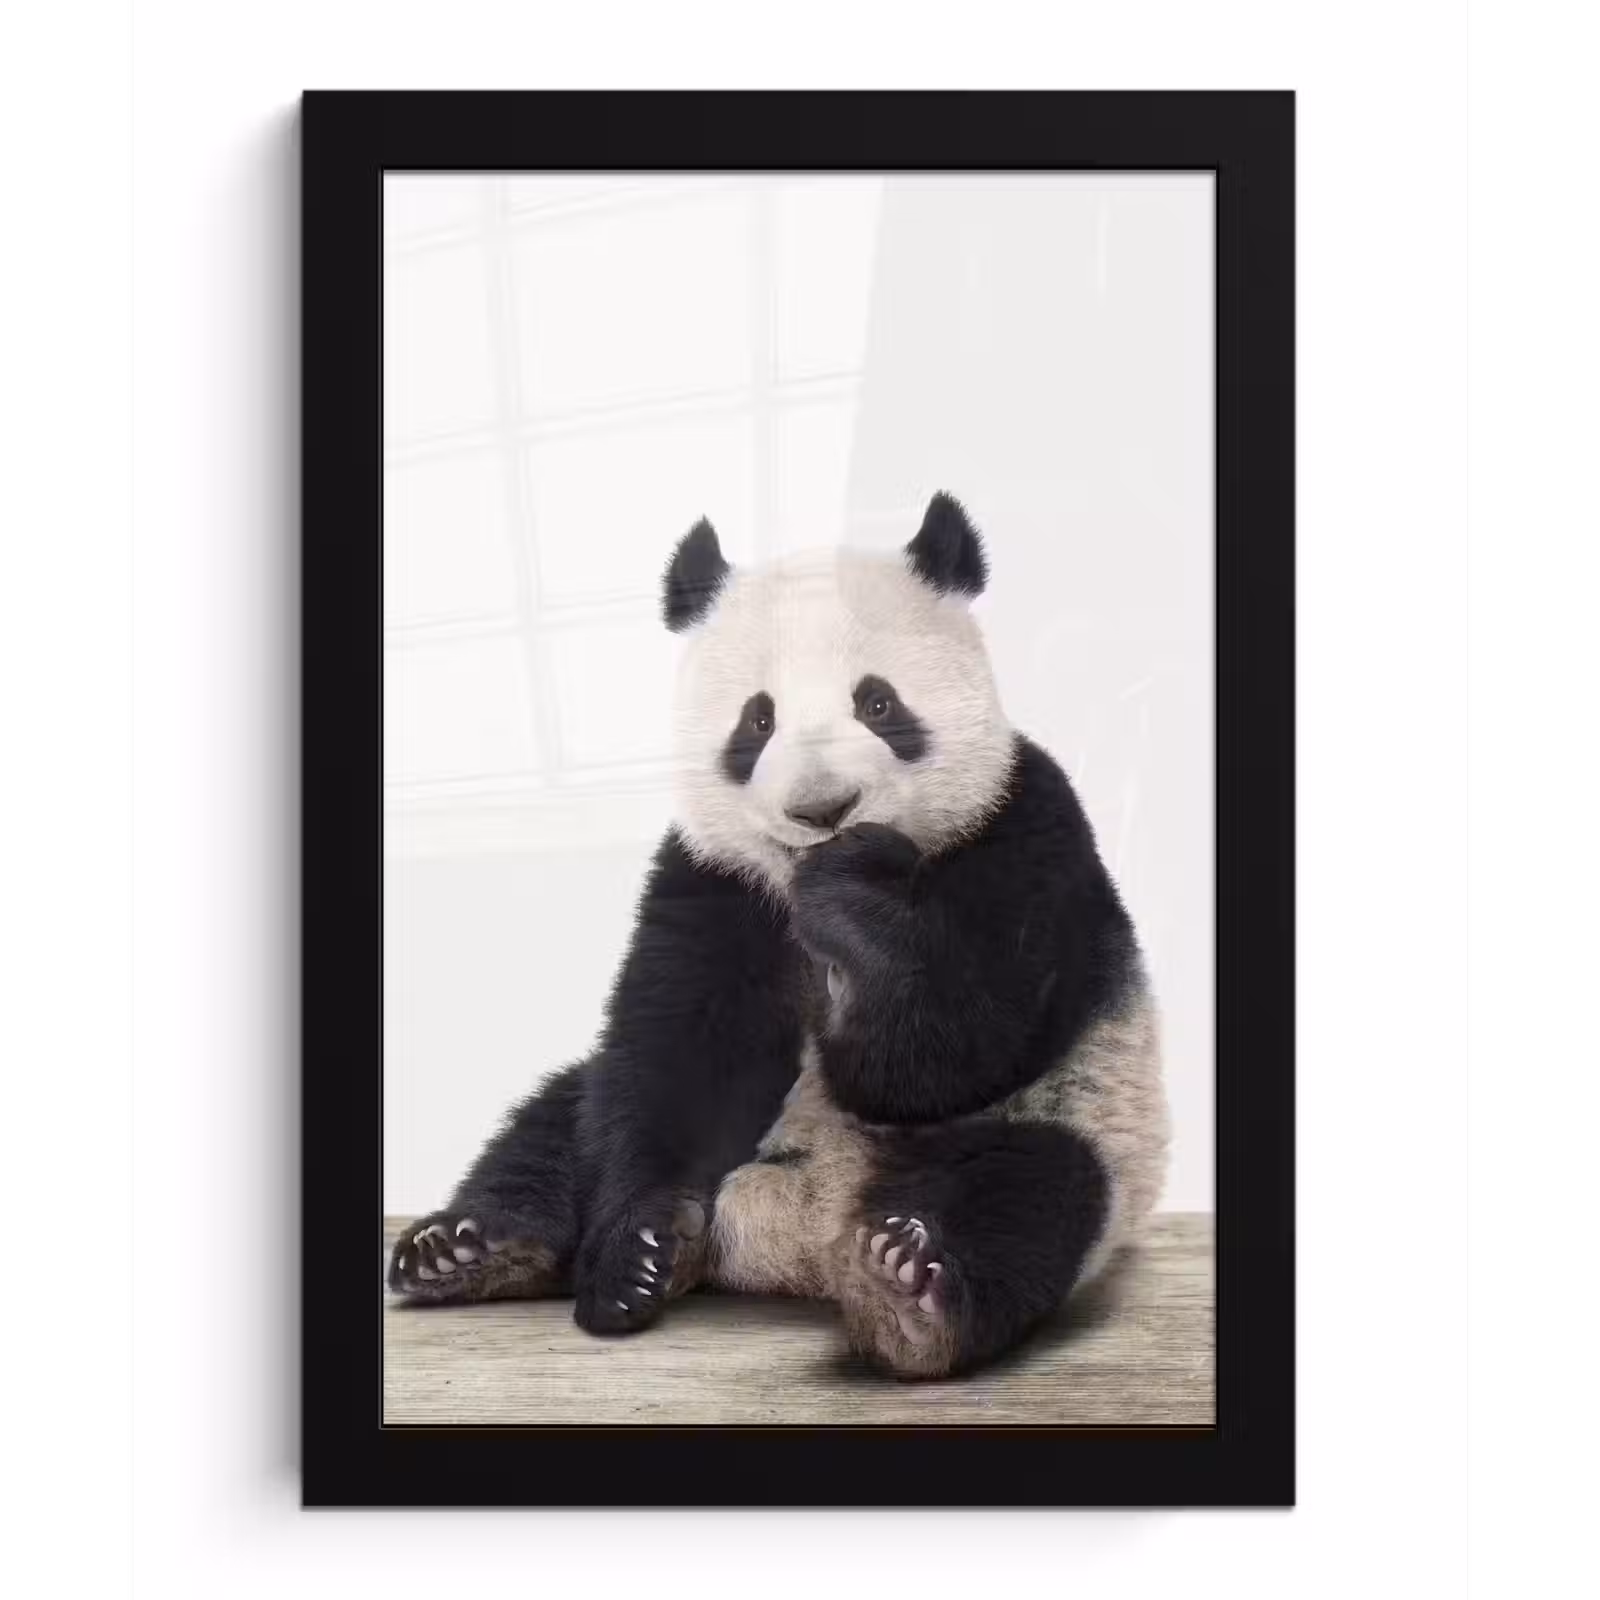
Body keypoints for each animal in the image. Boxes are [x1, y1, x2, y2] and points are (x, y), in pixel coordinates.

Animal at [388, 493, 1169, 1379]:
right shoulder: (714, 879)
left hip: (1080, 1121)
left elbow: (951, 1048)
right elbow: (681, 1055)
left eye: (878, 704)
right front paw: (638, 1254)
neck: (796, 883)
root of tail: (798, 1239)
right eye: (757, 720)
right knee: (558, 1120)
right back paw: (473, 1248)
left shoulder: (1024, 829)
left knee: (1028, 1193)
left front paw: (856, 897)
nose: (823, 808)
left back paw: (908, 1290)